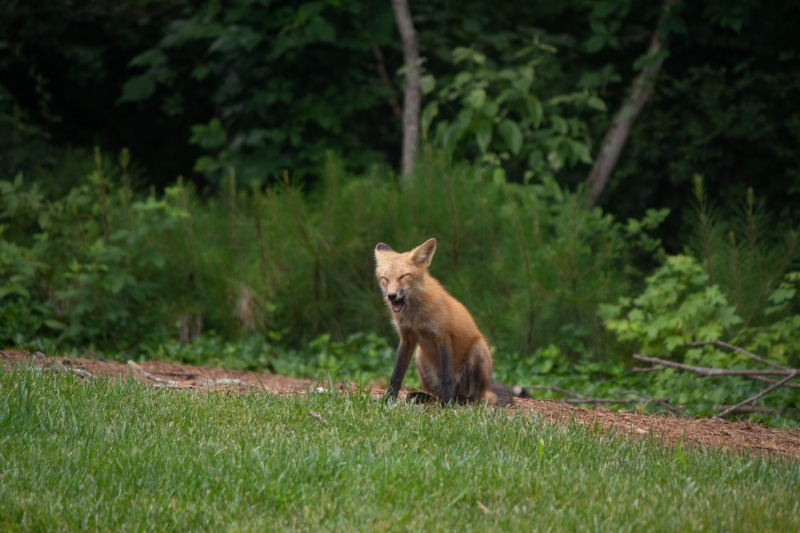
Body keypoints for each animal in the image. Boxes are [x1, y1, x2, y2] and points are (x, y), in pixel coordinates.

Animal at [374, 238, 514, 406]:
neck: (414, 317)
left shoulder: (443, 336)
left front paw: (447, 404)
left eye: (404, 276)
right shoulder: (406, 338)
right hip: (420, 356)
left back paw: (458, 400)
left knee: (473, 397)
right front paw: (388, 398)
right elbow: (396, 375)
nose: (391, 295)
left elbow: (447, 378)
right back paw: (426, 397)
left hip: (477, 351)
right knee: (436, 393)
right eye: (385, 279)